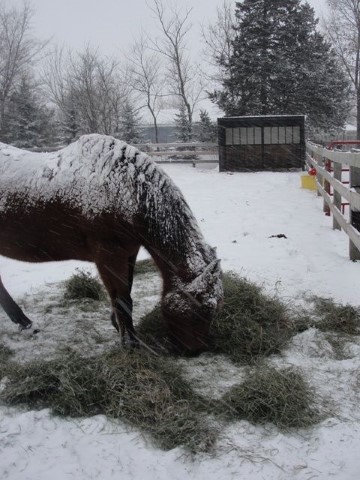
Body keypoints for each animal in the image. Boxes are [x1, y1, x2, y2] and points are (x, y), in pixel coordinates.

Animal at [0, 135, 222, 352]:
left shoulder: (129, 251)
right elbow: (122, 299)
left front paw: (118, 325)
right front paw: (130, 344)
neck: (124, 189)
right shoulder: (108, 254)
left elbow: (125, 294)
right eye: (202, 310)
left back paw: (24, 323)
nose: (194, 351)